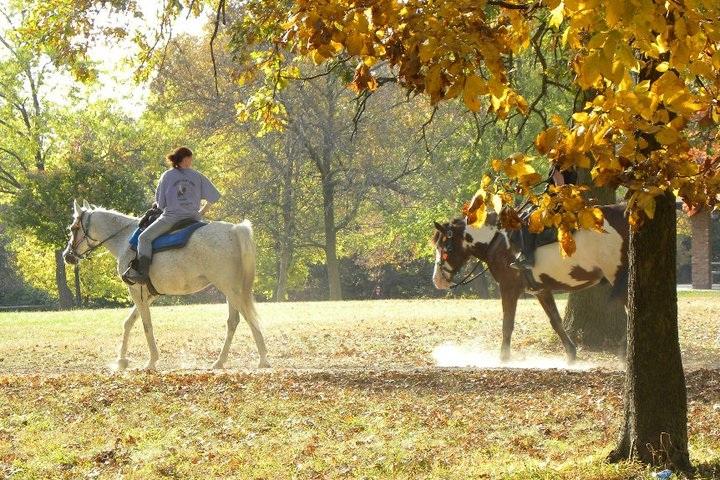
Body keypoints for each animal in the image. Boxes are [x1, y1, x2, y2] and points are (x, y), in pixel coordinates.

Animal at [62, 199, 269, 371]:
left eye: (73, 228)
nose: (67, 256)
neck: (124, 240)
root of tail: (234, 230)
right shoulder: (147, 295)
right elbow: (129, 322)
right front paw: (121, 360)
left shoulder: (135, 290)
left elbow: (146, 325)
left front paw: (151, 360)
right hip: (231, 292)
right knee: (233, 322)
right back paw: (220, 362)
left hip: (232, 290)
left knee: (249, 319)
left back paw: (263, 359)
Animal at [431, 203, 629, 363]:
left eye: (445, 247)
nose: (437, 280)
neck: (498, 239)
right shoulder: (541, 290)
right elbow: (556, 321)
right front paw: (571, 354)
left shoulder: (508, 288)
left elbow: (507, 323)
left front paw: (504, 357)